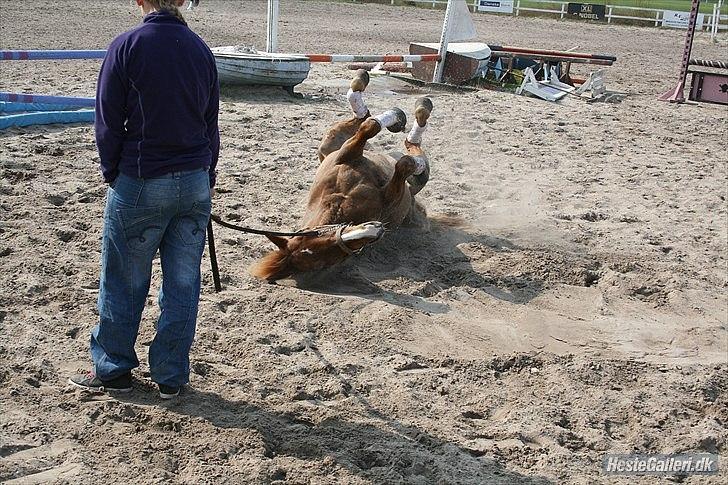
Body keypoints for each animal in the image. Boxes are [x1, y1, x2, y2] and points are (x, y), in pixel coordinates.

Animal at [252, 68, 432, 280]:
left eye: (317, 236)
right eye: (329, 259)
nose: (375, 229)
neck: (341, 201)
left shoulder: (345, 155)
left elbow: (370, 127)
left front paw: (392, 116)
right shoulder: (390, 197)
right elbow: (404, 163)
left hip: (330, 144)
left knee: (365, 116)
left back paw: (405, 109)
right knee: (415, 158)